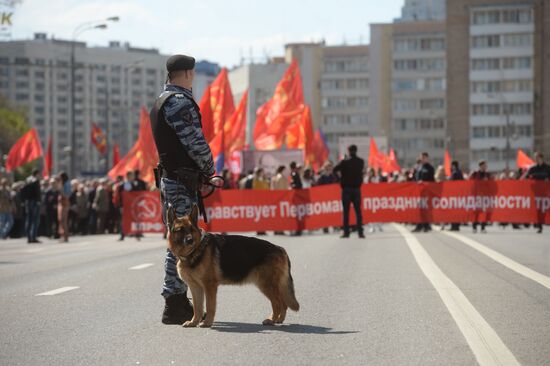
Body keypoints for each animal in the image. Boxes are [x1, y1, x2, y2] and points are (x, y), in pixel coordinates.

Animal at [166, 204, 300, 328]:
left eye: (191, 229)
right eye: (180, 230)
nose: (190, 241)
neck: (195, 250)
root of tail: (280, 248)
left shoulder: (209, 287)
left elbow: (209, 306)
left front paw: (207, 322)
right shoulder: (195, 288)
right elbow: (197, 308)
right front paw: (194, 322)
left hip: (266, 284)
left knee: (278, 302)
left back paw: (271, 320)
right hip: (268, 285)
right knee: (282, 303)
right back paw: (278, 319)